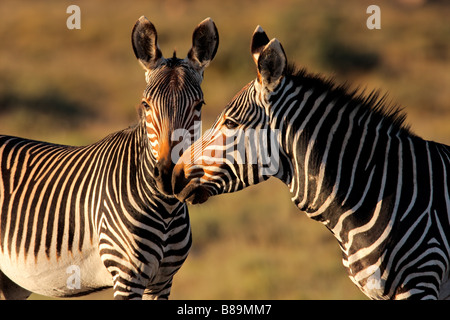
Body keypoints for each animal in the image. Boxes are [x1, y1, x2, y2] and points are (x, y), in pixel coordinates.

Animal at [0, 15, 218, 300]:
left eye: (199, 105)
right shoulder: (127, 277)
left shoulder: (163, 281)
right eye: (145, 104)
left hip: (11, 282)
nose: (168, 176)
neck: (166, 210)